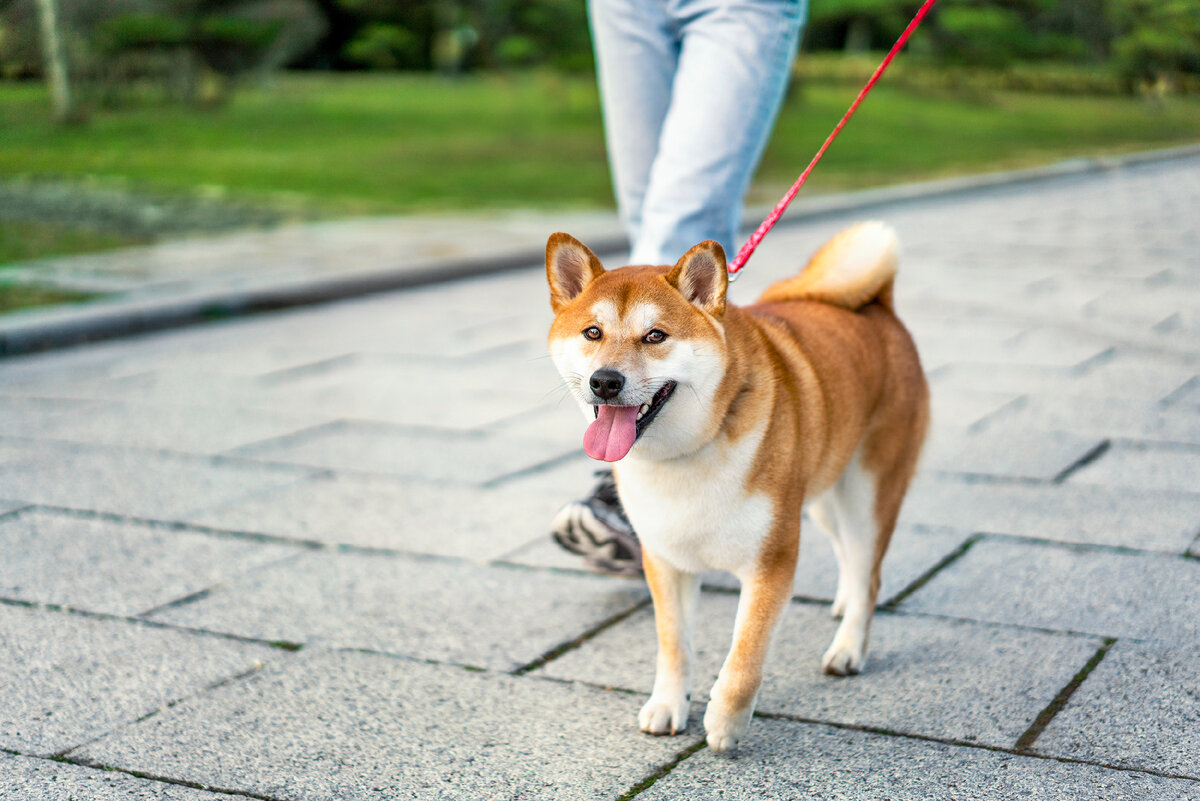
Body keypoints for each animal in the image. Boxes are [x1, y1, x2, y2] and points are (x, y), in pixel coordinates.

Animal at [542, 221, 926, 753]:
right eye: (592, 332)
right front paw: (668, 705)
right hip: (823, 492)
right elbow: (674, 646)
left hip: (867, 492)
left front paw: (725, 723)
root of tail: (880, 306)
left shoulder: (771, 561)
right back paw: (843, 604)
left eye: (655, 336)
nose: (605, 381)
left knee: (869, 571)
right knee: (850, 556)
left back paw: (849, 648)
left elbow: (745, 655)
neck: (684, 454)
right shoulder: (665, 560)